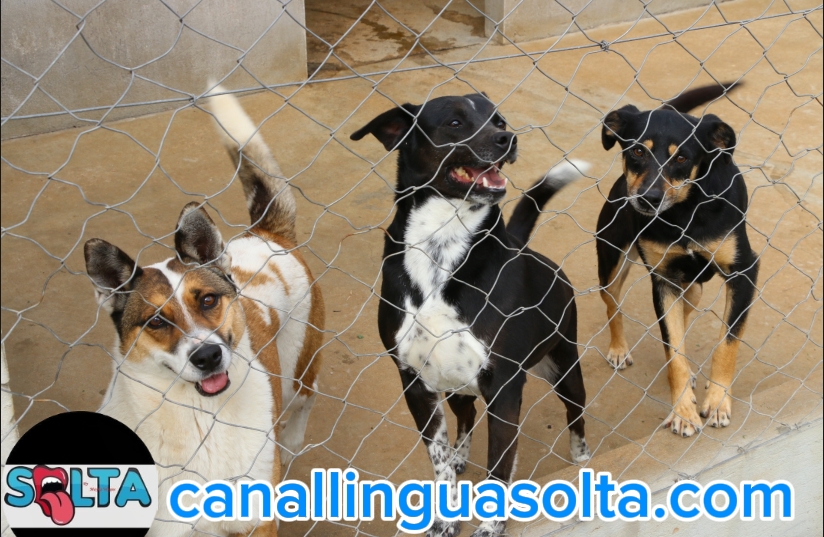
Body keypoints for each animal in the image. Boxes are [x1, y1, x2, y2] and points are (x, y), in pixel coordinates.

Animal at [85, 88, 324, 536]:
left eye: (208, 300)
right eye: (156, 321)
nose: (208, 356)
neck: (201, 419)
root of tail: (263, 233)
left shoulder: (255, 519)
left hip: (299, 367)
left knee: (305, 398)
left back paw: (291, 441)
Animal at [351, 93, 590, 537]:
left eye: (499, 120)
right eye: (455, 122)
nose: (508, 139)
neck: (441, 246)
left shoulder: (505, 388)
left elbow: (499, 466)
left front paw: (490, 526)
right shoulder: (416, 385)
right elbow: (439, 460)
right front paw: (445, 518)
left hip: (565, 367)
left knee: (575, 415)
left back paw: (582, 458)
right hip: (455, 384)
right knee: (466, 417)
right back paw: (462, 453)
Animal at [595, 82, 758, 437]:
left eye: (681, 157)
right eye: (637, 151)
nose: (647, 200)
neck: (685, 213)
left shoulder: (743, 273)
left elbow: (726, 345)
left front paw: (718, 402)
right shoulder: (663, 280)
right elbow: (674, 352)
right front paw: (684, 412)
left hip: (693, 288)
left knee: (684, 312)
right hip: (612, 263)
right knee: (612, 304)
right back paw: (618, 348)